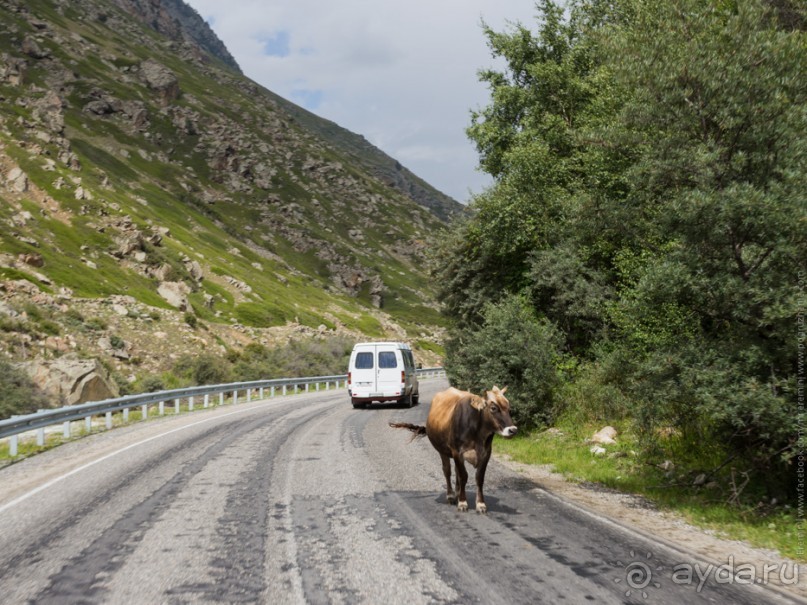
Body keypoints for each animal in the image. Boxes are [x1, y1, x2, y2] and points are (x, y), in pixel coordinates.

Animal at [390, 384, 516, 512]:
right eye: (493, 408)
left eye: (509, 409)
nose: (513, 430)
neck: (476, 431)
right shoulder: (457, 452)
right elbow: (463, 476)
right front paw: (463, 502)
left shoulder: (486, 453)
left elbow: (479, 478)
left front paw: (480, 504)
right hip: (442, 451)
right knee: (447, 471)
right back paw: (451, 495)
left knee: (456, 471)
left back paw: (457, 493)